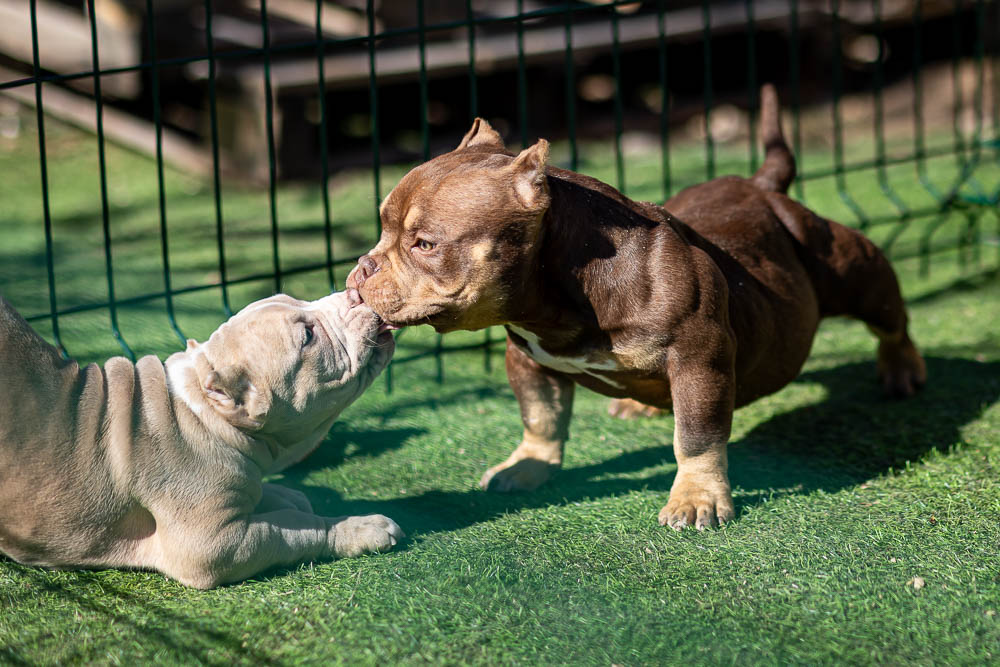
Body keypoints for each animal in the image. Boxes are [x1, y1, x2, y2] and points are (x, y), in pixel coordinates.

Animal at [0, 291, 402, 588]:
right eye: (308, 336)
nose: (354, 292)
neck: (201, 413)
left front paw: (284, 495)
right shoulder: (214, 546)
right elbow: (291, 530)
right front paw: (362, 528)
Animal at [347, 85, 926, 530]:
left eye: (424, 244)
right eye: (383, 230)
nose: (360, 268)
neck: (563, 299)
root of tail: (761, 185)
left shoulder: (699, 361)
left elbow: (696, 436)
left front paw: (695, 498)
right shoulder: (527, 359)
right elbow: (541, 415)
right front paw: (530, 465)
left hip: (849, 265)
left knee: (891, 317)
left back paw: (903, 367)